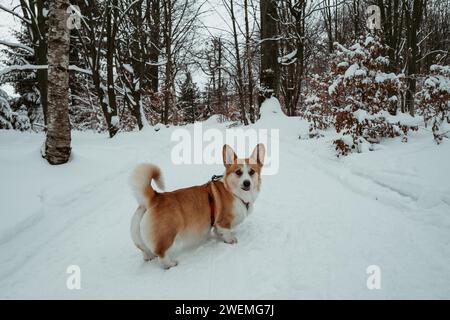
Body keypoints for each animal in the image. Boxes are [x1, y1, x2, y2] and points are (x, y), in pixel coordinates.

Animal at [129, 144, 264, 268]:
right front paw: (231, 240)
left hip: (138, 236)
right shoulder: (223, 222)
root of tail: (155, 197)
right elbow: (226, 233)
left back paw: (148, 257)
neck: (234, 192)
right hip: (168, 234)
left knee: (144, 249)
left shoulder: (216, 224)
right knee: (161, 254)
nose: (247, 183)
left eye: (252, 172)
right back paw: (171, 264)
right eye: (238, 172)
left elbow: (217, 231)